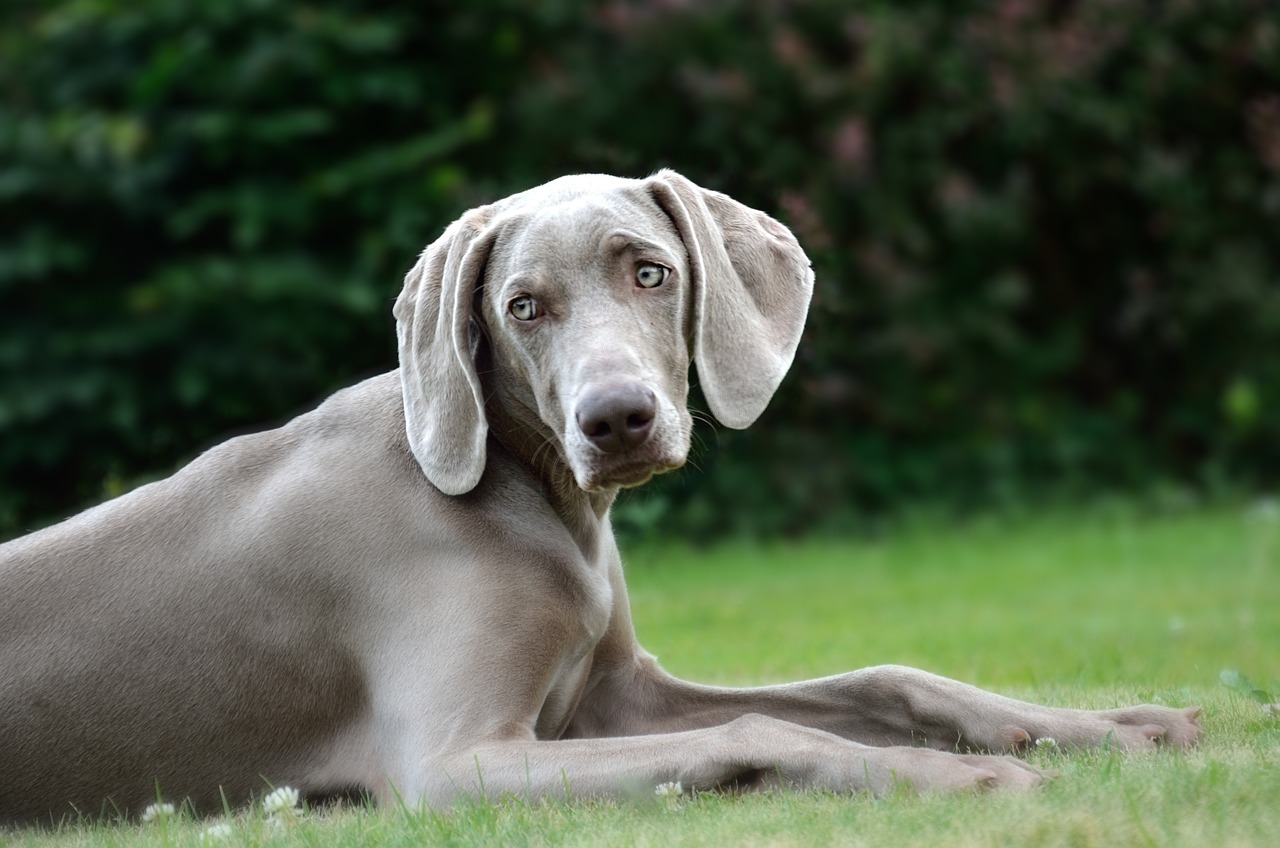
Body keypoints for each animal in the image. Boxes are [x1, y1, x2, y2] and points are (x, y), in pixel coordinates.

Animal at [0, 169, 1198, 824]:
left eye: (650, 270)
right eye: (523, 306)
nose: (615, 419)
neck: (530, 503)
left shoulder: (619, 695)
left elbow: (889, 675)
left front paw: (1112, 725)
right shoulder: (458, 765)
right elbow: (761, 724)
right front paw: (952, 779)